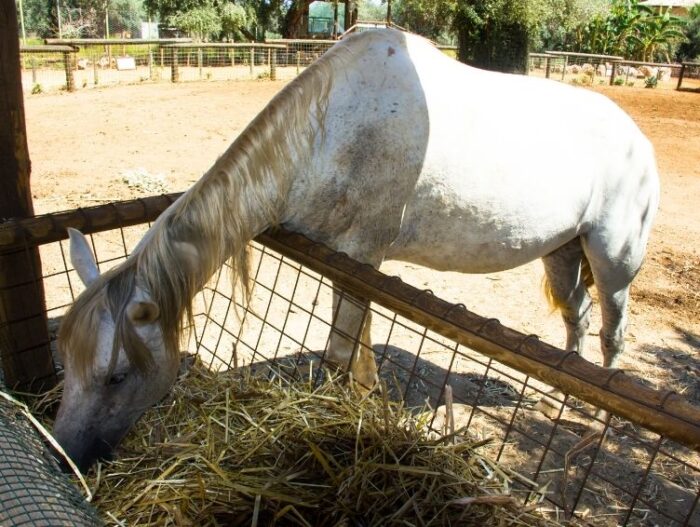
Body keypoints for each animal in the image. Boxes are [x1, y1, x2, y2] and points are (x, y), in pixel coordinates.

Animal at [53, 28, 656, 470]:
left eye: (116, 377)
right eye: (67, 363)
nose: (64, 456)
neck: (327, 130)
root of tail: (638, 140)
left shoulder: (363, 255)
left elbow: (342, 350)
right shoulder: (351, 263)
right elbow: (358, 343)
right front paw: (369, 397)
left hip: (612, 260)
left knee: (612, 333)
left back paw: (596, 428)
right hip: (562, 252)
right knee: (577, 321)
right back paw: (562, 401)